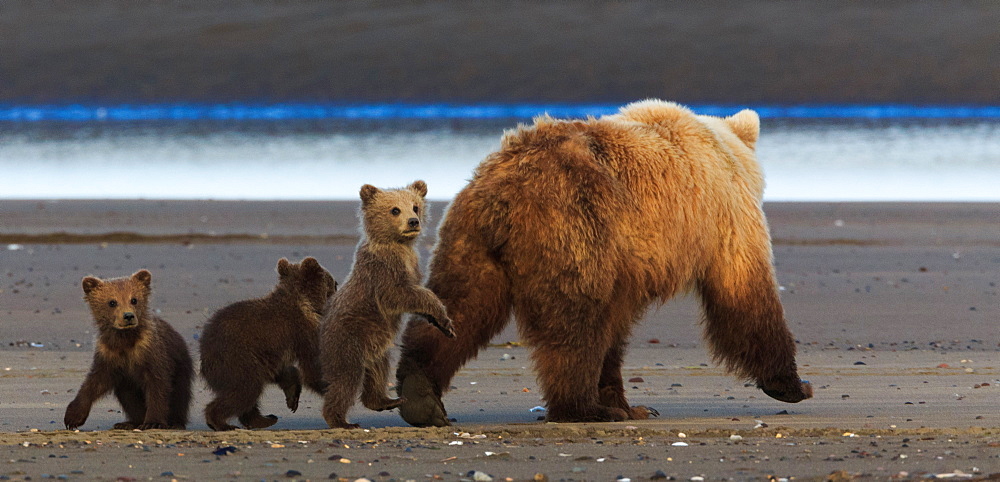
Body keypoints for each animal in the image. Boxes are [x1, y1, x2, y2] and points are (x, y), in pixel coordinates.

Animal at [394, 99, 808, 426]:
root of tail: (508, 189)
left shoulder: (627, 263)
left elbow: (615, 329)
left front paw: (626, 402)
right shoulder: (726, 216)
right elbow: (744, 291)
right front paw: (792, 384)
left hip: (471, 240)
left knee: (458, 308)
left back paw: (420, 395)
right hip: (575, 228)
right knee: (574, 324)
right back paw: (582, 407)